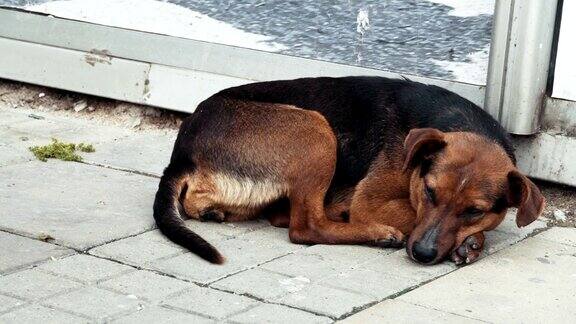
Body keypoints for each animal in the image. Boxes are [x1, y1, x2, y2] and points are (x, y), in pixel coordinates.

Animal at [153, 76, 544, 266]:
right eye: (429, 191)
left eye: (475, 210)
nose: (423, 254)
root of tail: (181, 152)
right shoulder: (373, 201)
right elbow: (408, 215)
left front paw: (472, 241)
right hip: (314, 129)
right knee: (304, 226)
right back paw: (375, 233)